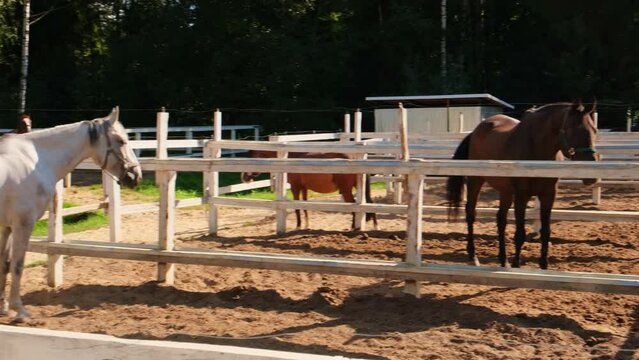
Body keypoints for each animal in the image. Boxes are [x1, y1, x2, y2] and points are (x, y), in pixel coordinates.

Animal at [0, 106, 141, 320]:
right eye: (122, 141)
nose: (136, 175)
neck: (35, 161)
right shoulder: (23, 224)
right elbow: (17, 265)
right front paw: (20, 310)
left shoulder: (7, 226)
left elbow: (5, 265)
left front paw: (4, 307)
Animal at [242, 150, 378, 231]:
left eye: (252, 159)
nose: (244, 177)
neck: (292, 159)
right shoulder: (304, 188)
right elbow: (305, 206)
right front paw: (307, 225)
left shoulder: (295, 187)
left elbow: (297, 208)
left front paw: (298, 226)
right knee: (370, 203)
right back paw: (375, 226)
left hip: (346, 190)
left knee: (354, 207)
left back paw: (354, 227)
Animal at [450, 100, 600, 268]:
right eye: (574, 130)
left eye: (594, 130)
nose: (591, 176)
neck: (536, 150)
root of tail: (477, 131)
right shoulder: (522, 196)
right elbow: (520, 234)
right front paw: (517, 264)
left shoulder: (548, 195)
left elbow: (546, 232)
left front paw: (543, 265)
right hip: (476, 180)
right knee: (471, 213)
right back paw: (473, 256)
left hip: (505, 191)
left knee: (500, 219)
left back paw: (503, 260)